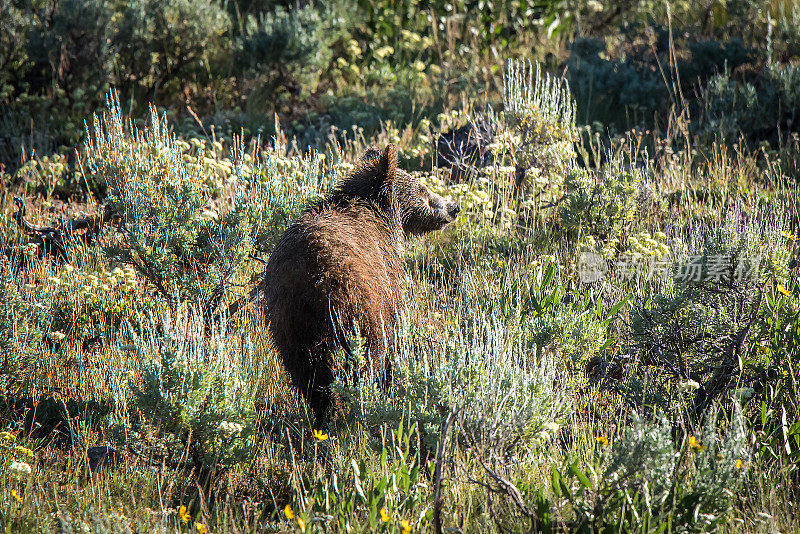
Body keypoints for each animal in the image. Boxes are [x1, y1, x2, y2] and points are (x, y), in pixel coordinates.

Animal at [266, 143, 460, 428]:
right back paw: (357, 402)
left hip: (289, 321)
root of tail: (313, 279)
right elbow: (394, 327)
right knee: (367, 353)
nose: (453, 207)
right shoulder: (385, 274)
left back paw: (325, 415)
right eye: (423, 189)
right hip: (359, 303)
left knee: (307, 371)